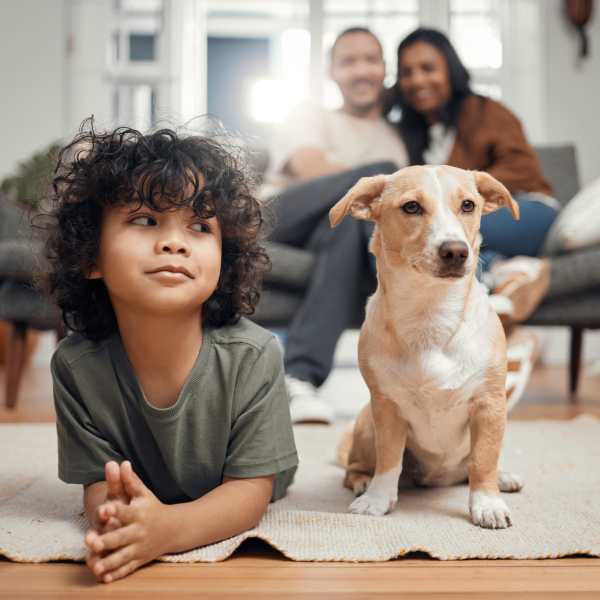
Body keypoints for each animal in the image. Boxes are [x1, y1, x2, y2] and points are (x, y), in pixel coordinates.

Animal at [332, 166, 524, 528]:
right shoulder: (386, 407)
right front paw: (378, 499)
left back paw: (503, 477)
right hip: (366, 425)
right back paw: (363, 482)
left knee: (476, 465)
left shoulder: (489, 405)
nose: (455, 251)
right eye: (411, 207)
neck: (430, 314)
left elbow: (483, 460)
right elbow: (389, 460)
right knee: (354, 467)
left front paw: (487, 502)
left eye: (468, 205)